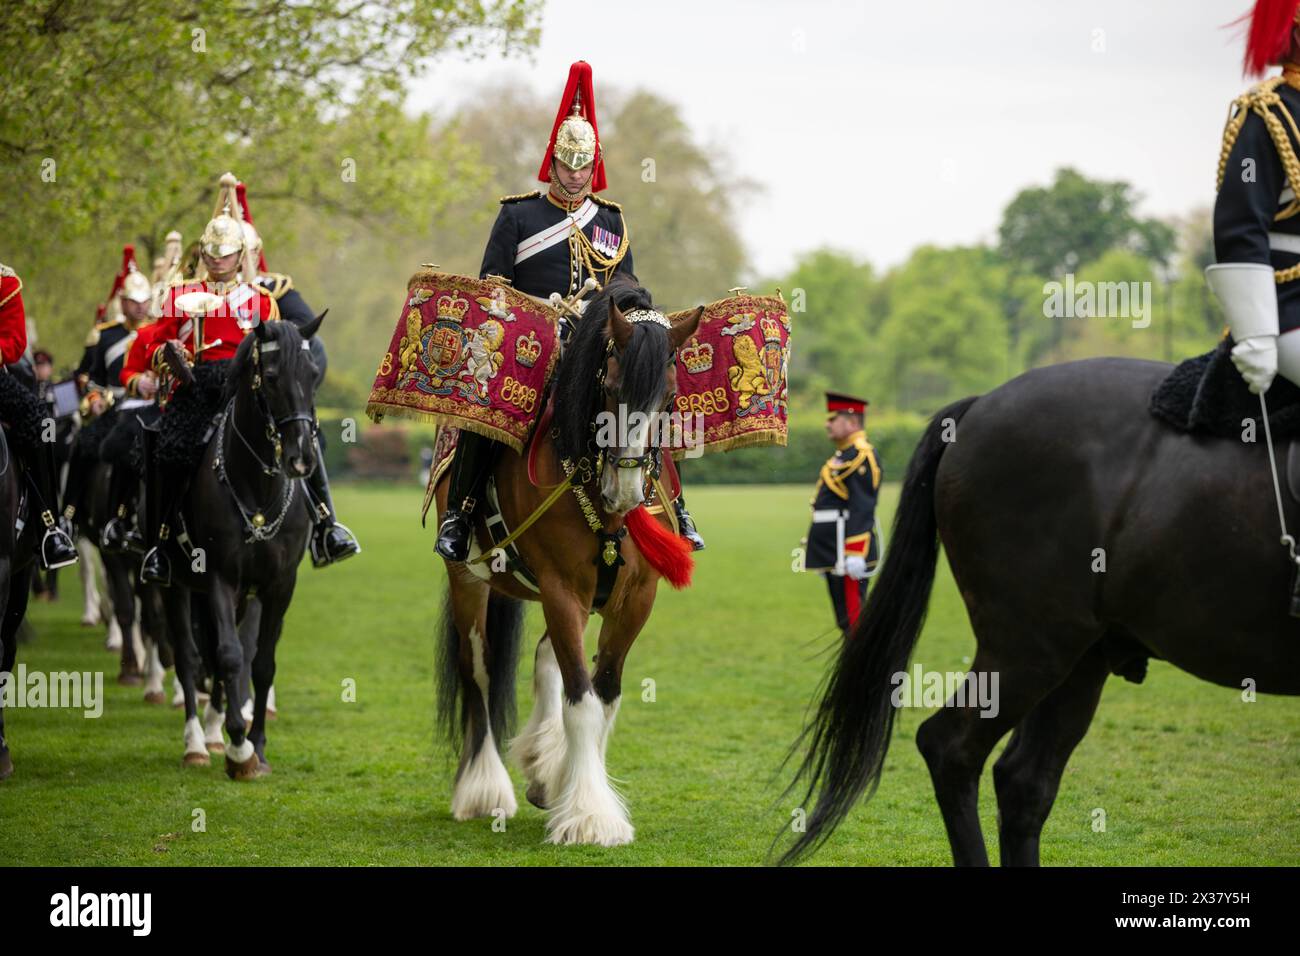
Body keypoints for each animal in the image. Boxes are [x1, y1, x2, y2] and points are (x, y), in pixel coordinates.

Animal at [162, 314, 325, 780]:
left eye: (314, 375)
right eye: (270, 377)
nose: (301, 459)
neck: (256, 487)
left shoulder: (277, 585)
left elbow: (261, 662)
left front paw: (257, 746)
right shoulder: (220, 577)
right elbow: (229, 655)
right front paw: (238, 749)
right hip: (175, 584)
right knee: (188, 656)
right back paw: (198, 742)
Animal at [434, 280, 702, 848]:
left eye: (669, 400)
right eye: (611, 388)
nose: (627, 490)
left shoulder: (635, 600)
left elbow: (605, 695)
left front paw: (570, 786)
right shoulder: (561, 589)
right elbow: (582, 699)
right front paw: (589, 816)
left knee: (544, 656)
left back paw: (543, 764)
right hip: (469, 579)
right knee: (479, 671)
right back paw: (484, 787)